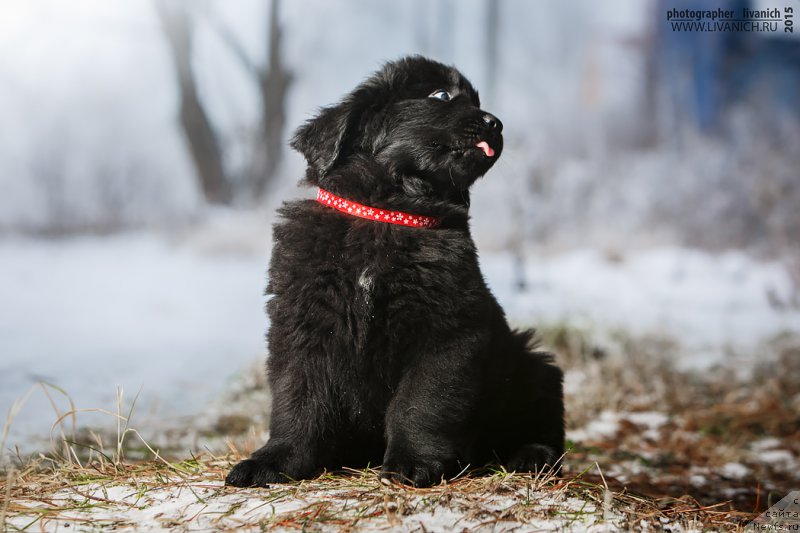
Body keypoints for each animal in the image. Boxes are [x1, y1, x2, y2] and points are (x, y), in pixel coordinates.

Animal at [225, 55, 564, 486]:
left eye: (476, 101)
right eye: (441, 95)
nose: (496, 123)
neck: (388, 213)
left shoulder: (447, 331)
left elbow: (421, 403)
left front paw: (412, 463)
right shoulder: (302, 325)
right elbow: (297, 399)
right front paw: (276, 460)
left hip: (534, 365)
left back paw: (530, 455)